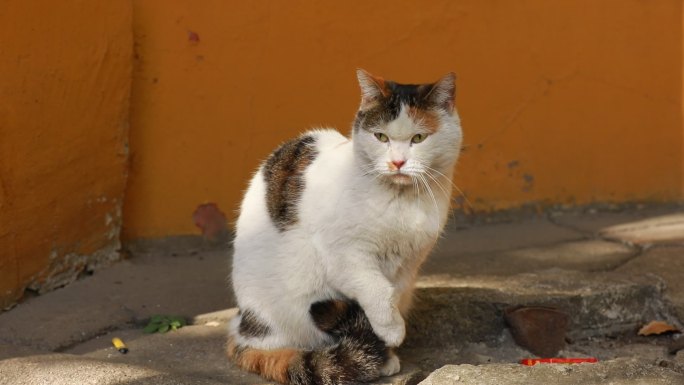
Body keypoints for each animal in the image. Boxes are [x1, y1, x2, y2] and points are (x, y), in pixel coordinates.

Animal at [227, 70, 462, 384]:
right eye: (381, 137)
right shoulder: (344, 255)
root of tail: (242, 328)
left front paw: (384, 349)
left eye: (419, 138)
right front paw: (391, 333)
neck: (401, 201)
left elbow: (393, 295)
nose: (397, 162)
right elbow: (378, 290)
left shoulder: (408, 263)